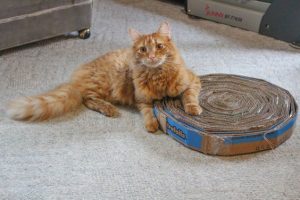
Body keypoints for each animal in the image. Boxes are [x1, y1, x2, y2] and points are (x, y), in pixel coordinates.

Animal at [7, 22, 203, 133]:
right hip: (104, 85)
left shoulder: (192, 80)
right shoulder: (142, 99)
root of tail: (77, 77)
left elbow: (190, 97)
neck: (157, 75)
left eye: (159, 46)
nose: (152, 57)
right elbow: (148, 113)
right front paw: (152, 125)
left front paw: (194, 110)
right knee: (87, 99)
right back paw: (109, 109)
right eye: (143, 49)